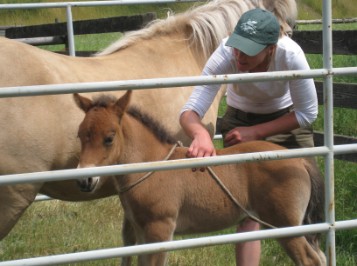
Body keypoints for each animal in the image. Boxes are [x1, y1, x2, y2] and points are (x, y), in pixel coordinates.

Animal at [75, 90, 326, 264]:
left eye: (109, 138)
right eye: (79, 135)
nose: (84, 181)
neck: (153, 165)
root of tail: (300, 160)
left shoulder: (160, 230)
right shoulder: (139, 231)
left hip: (285, 225)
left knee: (310, 259)